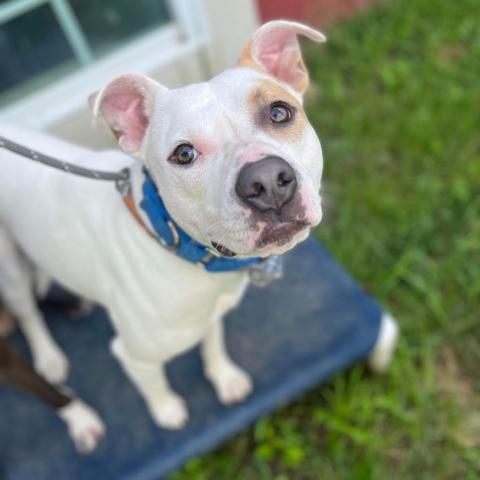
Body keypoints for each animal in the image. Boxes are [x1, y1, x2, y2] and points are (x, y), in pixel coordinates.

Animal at [0, 22, 348, 434]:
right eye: (184, 154)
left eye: (279, 112)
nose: (267, 181)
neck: (174, 242)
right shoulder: (134, 356)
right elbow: (154, 385)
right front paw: (167, 411)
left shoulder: (212, 312)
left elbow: (212, 339)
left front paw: (223, 376)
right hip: (10, 270)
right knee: (27, 312)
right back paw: (50, 360)